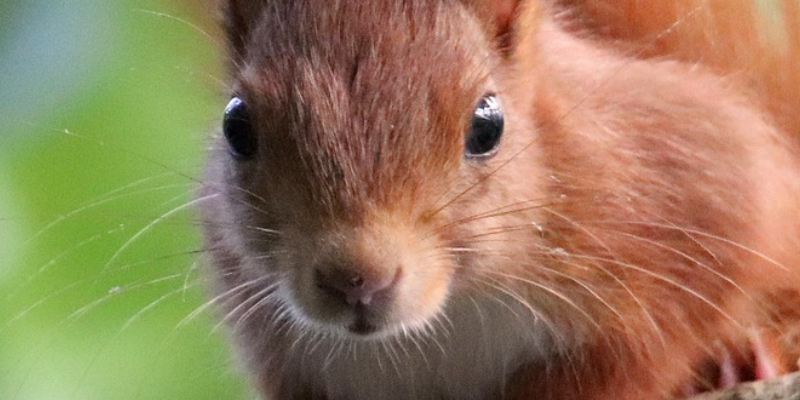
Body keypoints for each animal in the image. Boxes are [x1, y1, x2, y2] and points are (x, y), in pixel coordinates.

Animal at [198, 1, 800, 399]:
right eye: (236, 126)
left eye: (487, 125)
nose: (356, 277)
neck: (450, 312)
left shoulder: (696, 185)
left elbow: (644, 350)